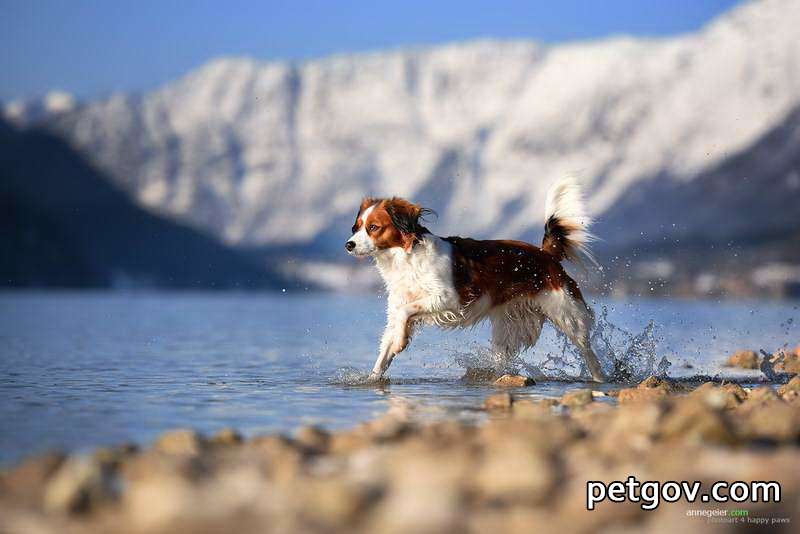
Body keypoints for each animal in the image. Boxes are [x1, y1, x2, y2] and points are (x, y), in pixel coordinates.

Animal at [346, 180, 608, 386]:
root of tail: (546, 255)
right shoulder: (397, 311)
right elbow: (386, 348)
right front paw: (373, 377)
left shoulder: (450, 298)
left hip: (567, 314)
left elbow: (406, 312)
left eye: (373, 227)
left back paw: (599, 378)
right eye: (356, 227)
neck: (406, 259)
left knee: (587, 349)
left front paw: (401, 342)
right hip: (507, 330)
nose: (349, 244)